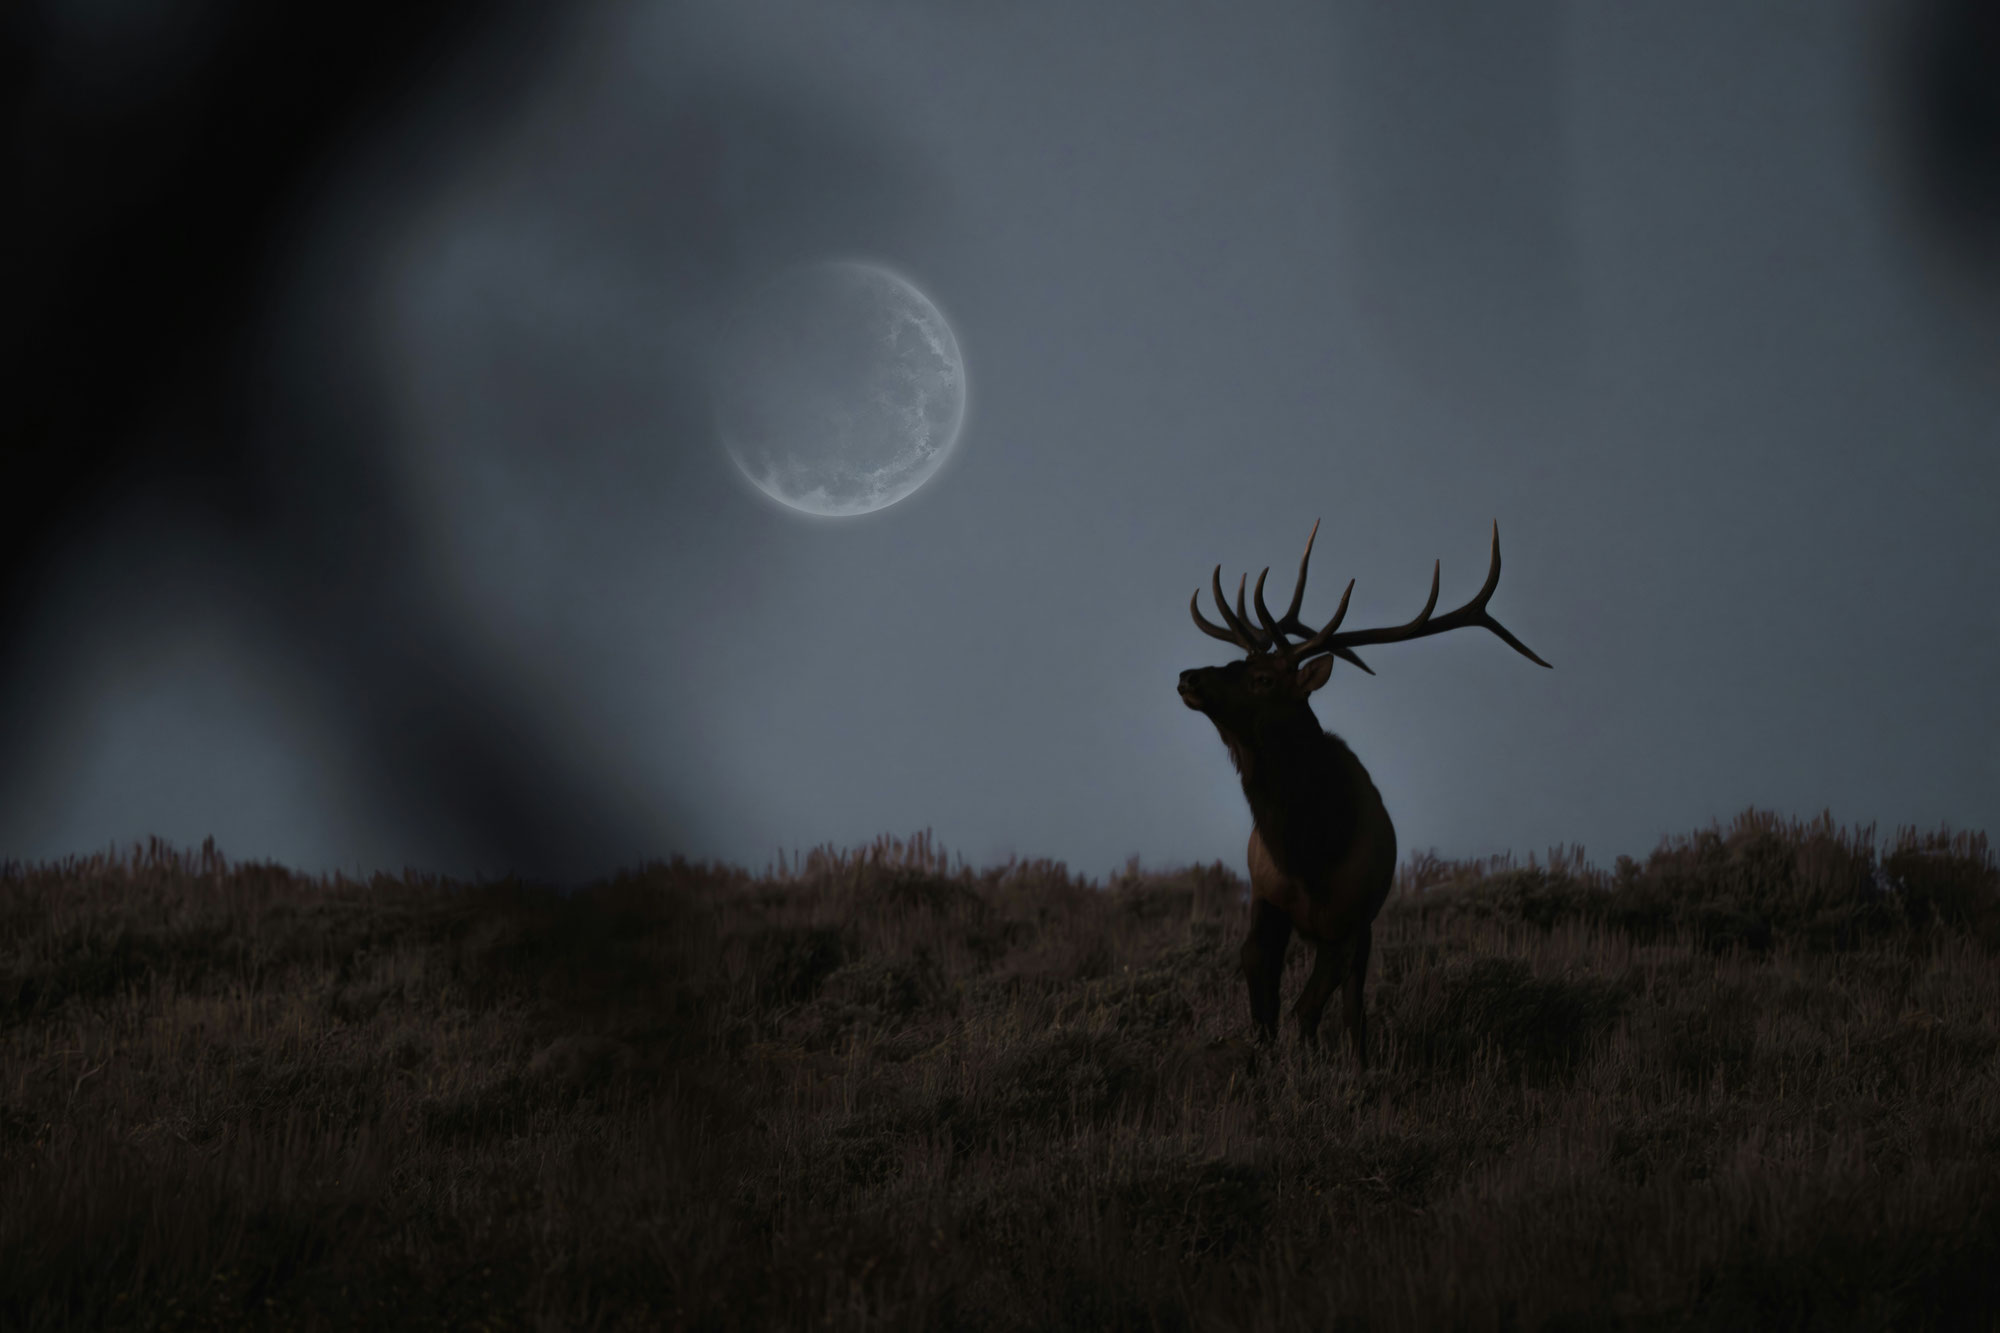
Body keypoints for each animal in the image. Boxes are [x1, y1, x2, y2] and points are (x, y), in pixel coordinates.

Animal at [1176, 516, 1552, 1056]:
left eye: (1264, 679)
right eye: (1236, 664)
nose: (1189, 677)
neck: (1309, 852)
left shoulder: (1350, 922)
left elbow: (1311, 1011)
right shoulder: (1266, 902)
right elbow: (1264, 1015)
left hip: (1364, 927)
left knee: (1352, 1009)